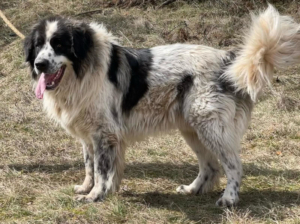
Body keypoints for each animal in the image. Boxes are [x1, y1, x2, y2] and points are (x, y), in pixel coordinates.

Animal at [24, 4, 300, 206]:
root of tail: (228, 61)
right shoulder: (90, 135)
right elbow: (91, 166)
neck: (84, 69)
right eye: (38, 45)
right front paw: (89, 188)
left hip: (212, 129)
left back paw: (229, 199)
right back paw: (192, 190)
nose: (40, 64)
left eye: (59, 44)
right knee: (210, 166)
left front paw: (95, 196)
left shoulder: (104, 135)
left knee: (233, 165)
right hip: (193, 131)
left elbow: (102, 170)